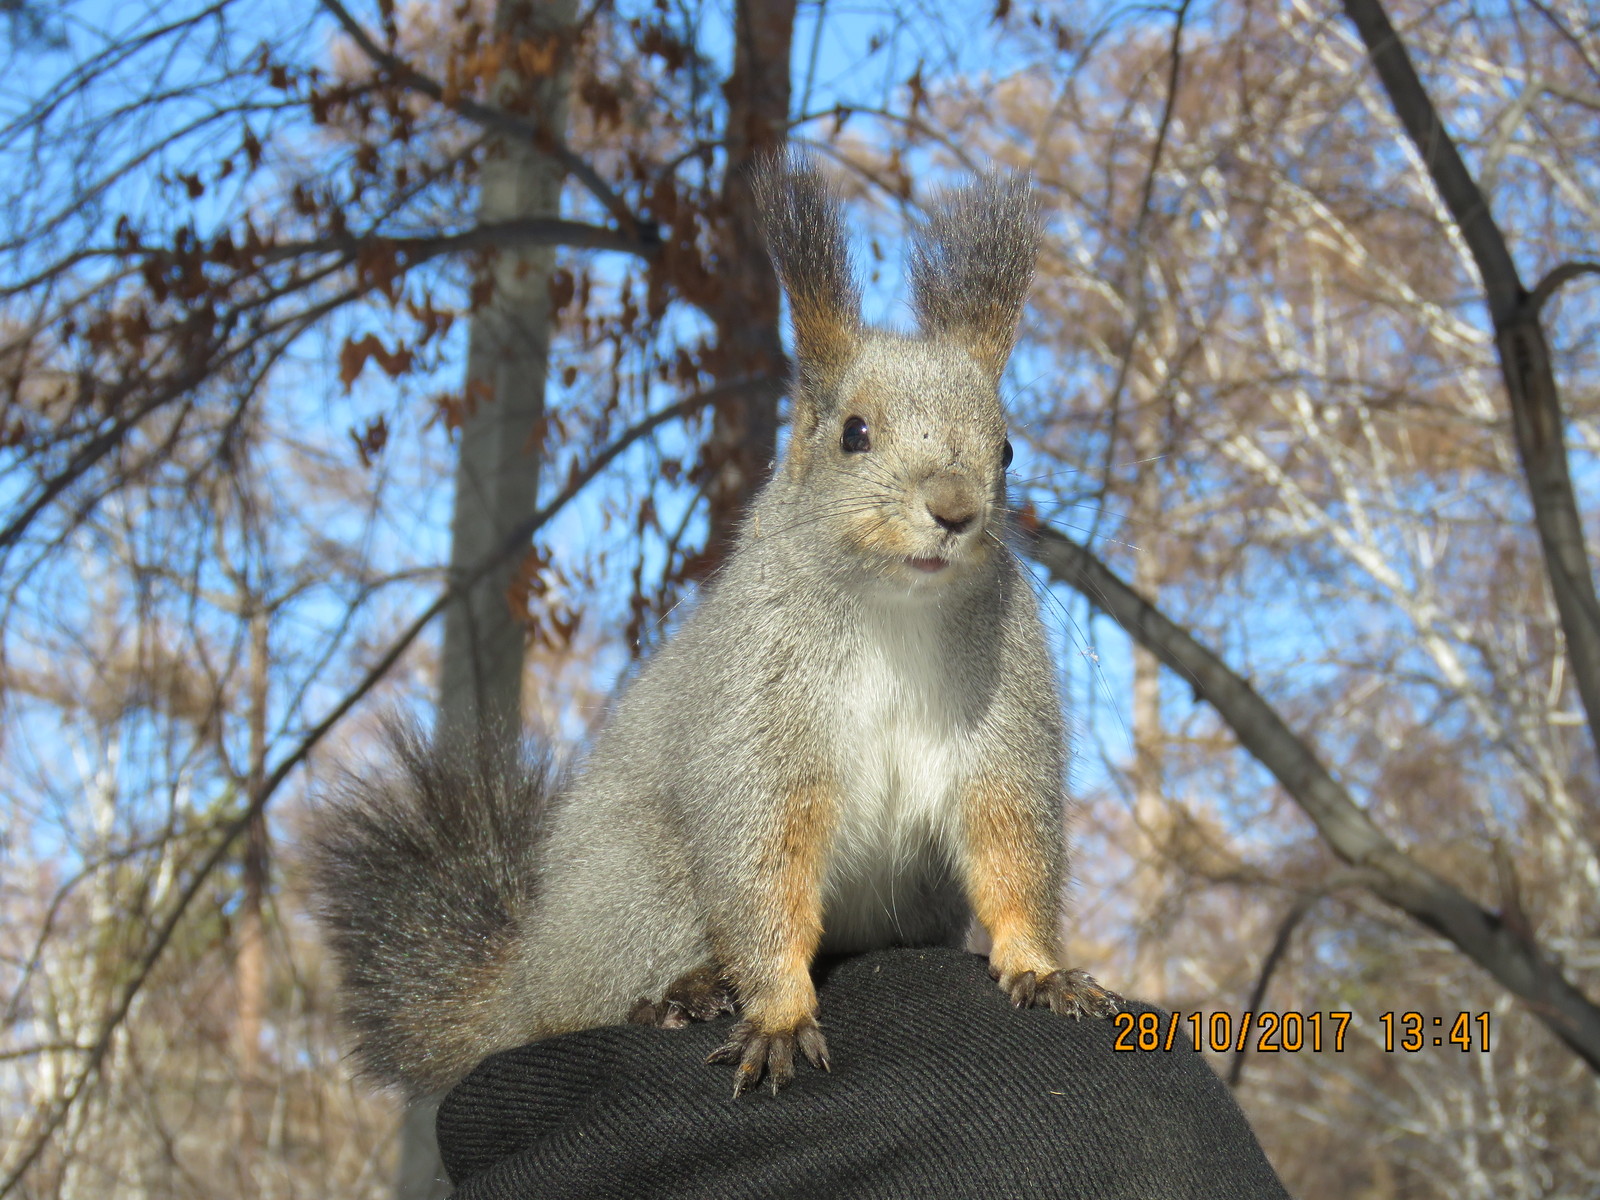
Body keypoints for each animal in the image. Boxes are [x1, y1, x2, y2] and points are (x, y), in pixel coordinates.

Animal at [305, 155, 1120, 1107]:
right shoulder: (759, 721)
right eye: (854, 432)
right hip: (645, 888)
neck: (896, 612)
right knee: (589, 999)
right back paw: (679, 994)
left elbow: (1011, 847)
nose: (955, 511)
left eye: (1008, 450)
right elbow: (761, 867)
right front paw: (777, 1013)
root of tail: (530, 971)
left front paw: (1039, 967)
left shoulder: (1000, 724)